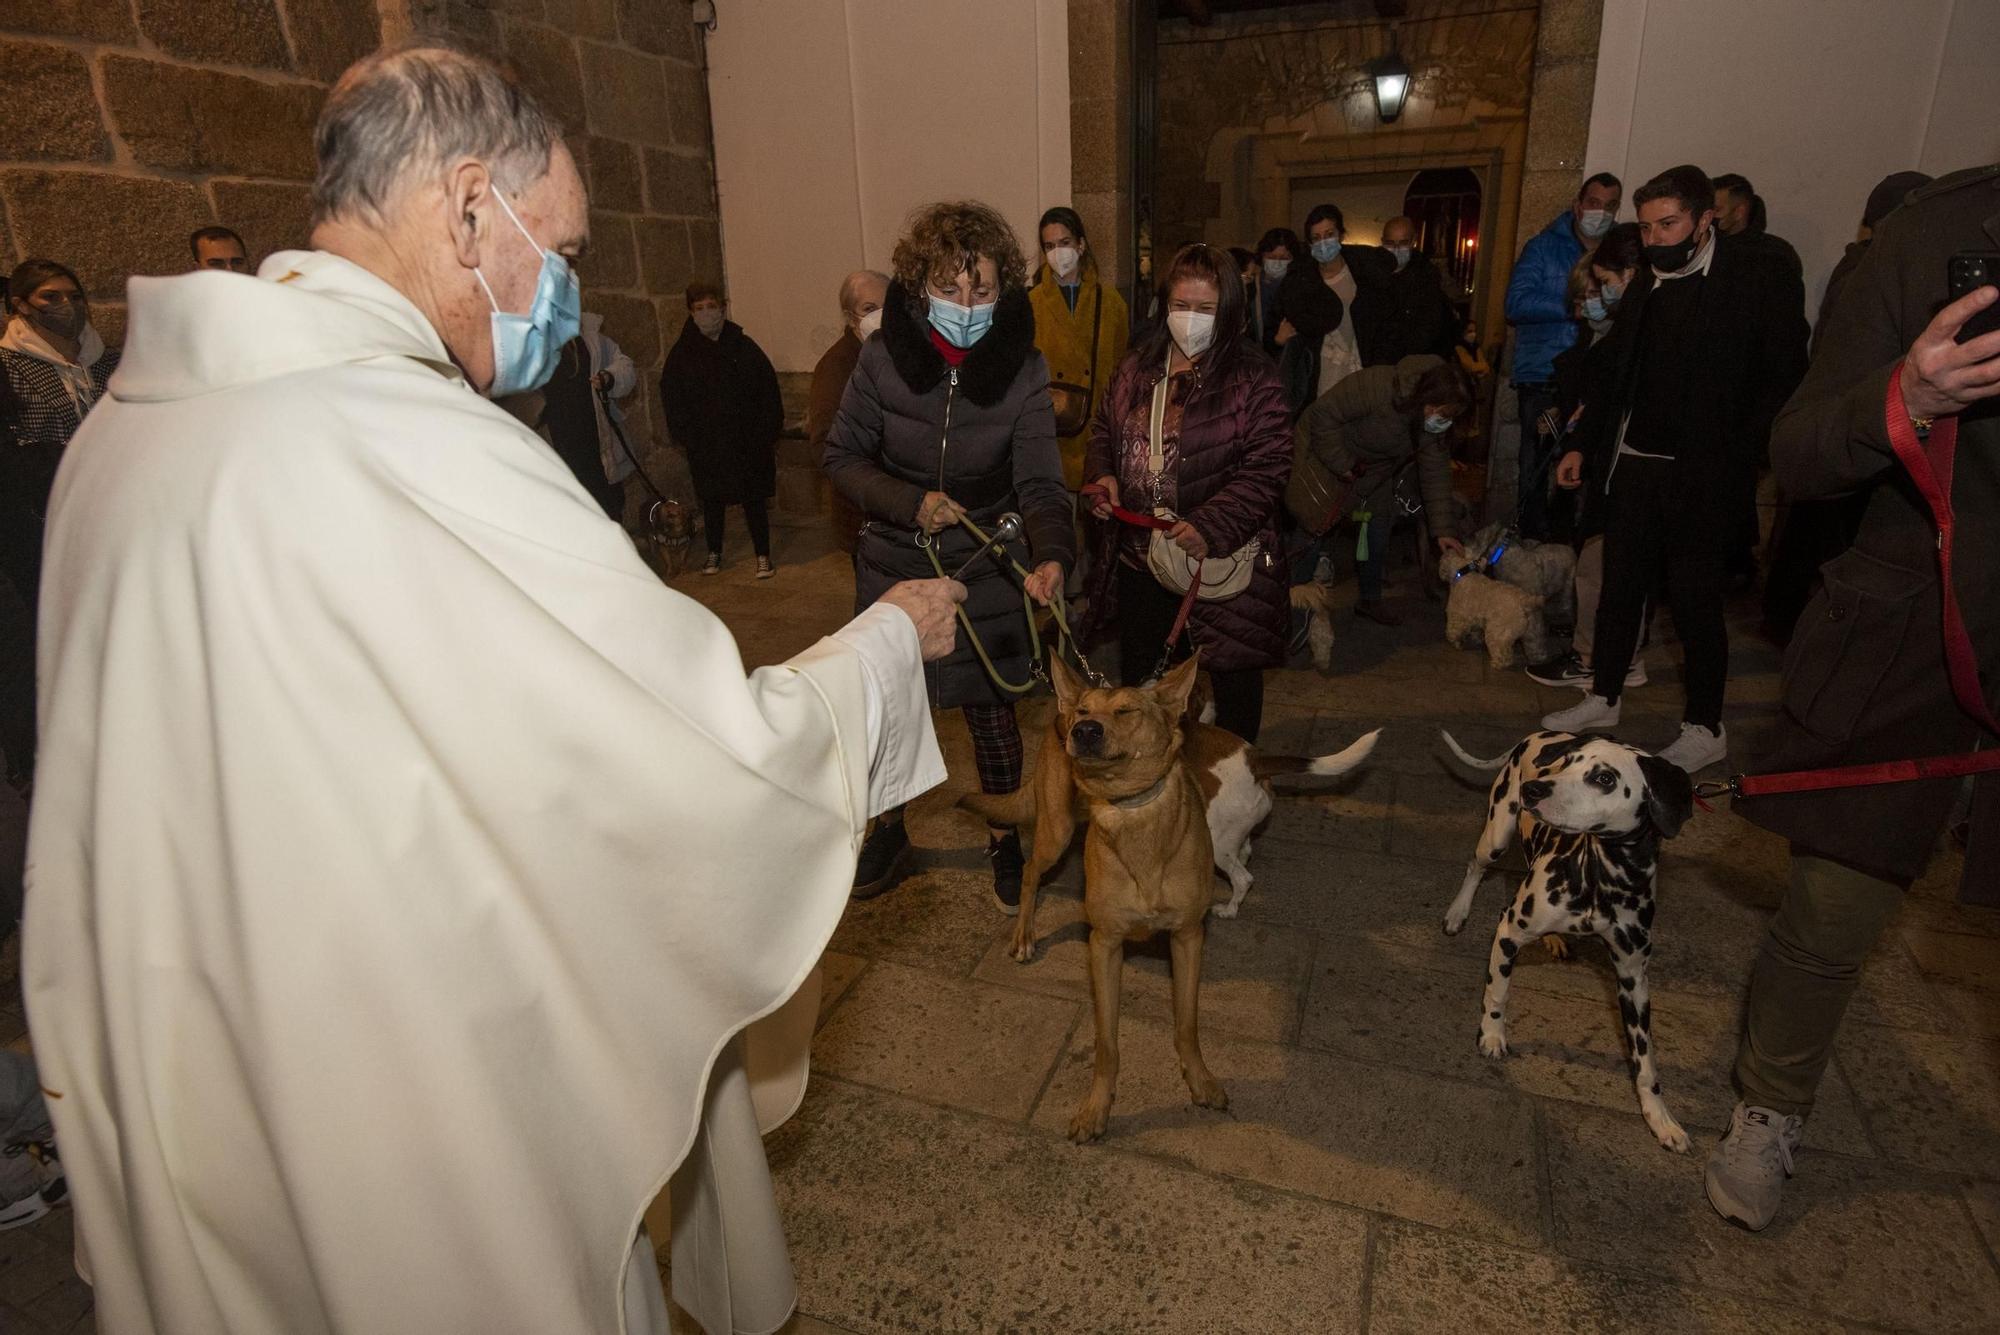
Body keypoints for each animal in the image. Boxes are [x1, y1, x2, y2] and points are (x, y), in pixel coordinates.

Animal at [1032, 651, 1216, 1143]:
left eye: (1127, 711)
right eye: (1086, 710)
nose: (1083, 730)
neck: (1131, 808)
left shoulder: (1188, 937)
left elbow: (1187, 1023)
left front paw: (1198, 1077)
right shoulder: (1103, 943)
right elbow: (1106, 1042)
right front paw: (1097, 1106)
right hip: (1055, 832)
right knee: (1027, 874)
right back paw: (1022, 936)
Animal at [1448, 723, 1696, 1151]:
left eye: (1605, 778)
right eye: (1565, 763)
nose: (1533, 789)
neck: (1602, 878)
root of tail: (1543, 732)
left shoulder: (1634, 979)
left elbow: (1645, 1061)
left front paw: (1660, 1118)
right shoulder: (1509, 931)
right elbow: (1498, 991)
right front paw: (1492, 1035)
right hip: (1496, 836)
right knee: (1475, 867)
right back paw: (1457, 911)